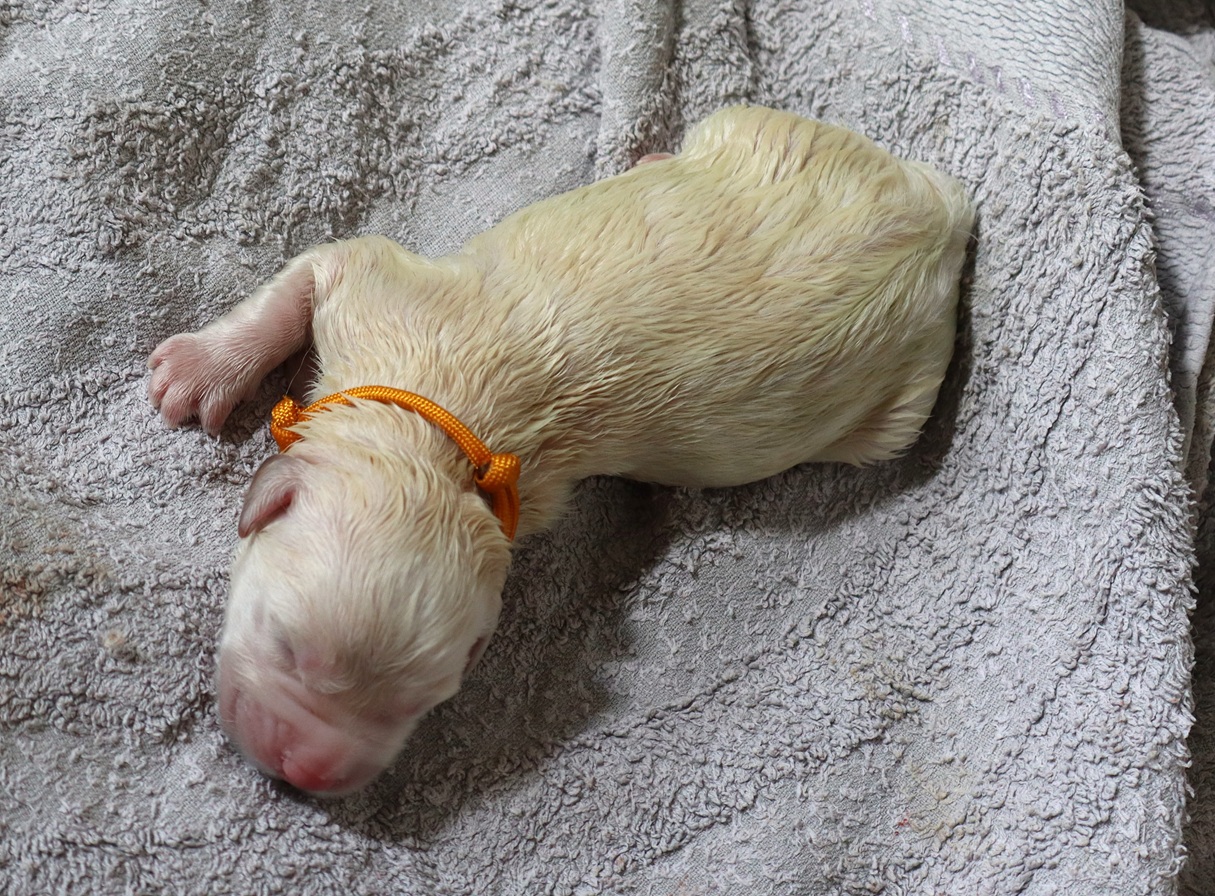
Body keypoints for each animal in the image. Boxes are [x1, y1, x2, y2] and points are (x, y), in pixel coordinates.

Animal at [148, 105, 974, 795]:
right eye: (286, 647)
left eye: (427, 700)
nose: (309, 776)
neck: (438, 439)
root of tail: (941, 215)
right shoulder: (370, 287)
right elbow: (300, 283)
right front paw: (200, 370)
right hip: (762, 132)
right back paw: (650, 160)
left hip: (894, 405)